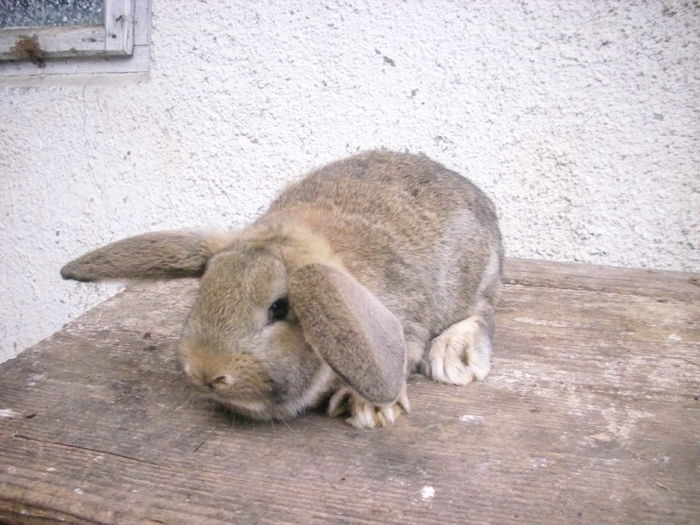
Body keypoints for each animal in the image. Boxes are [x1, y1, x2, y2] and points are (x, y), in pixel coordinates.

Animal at [58, 149, 498, 428]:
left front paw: (365, 409)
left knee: (482, 312)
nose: (206, 373)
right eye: (203, 292)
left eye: (279, 308)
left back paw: (453, 356)